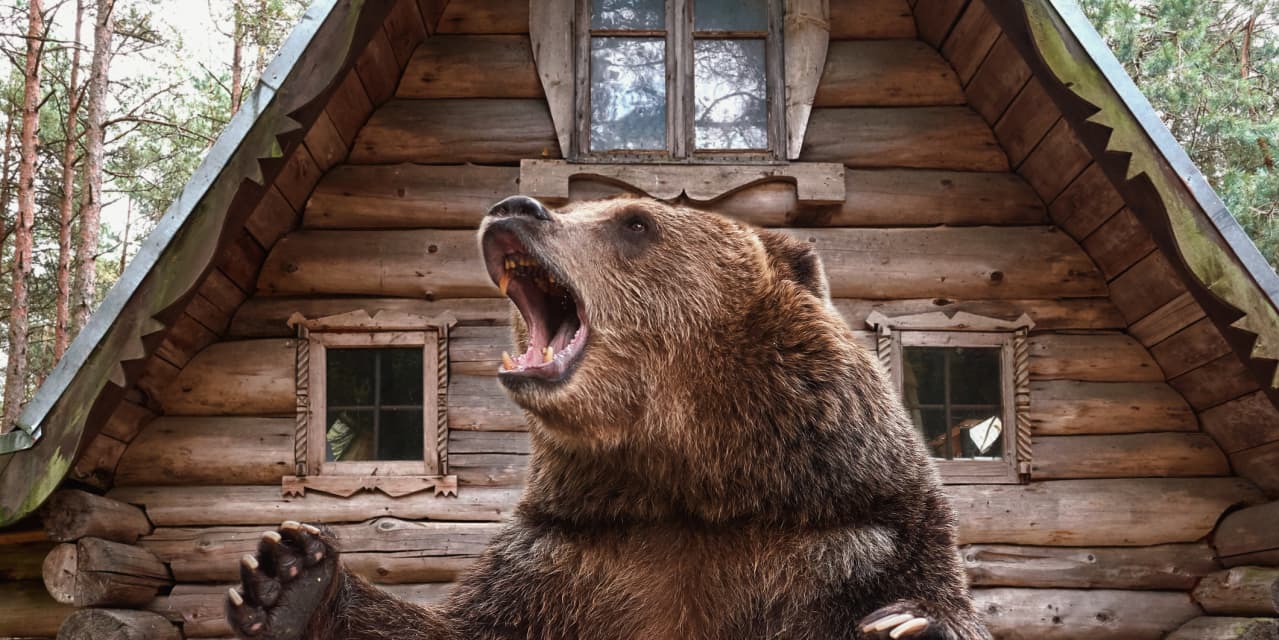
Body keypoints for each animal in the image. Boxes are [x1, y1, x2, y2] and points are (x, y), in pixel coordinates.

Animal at [226, 195, 991, 640]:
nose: (513, 206)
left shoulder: (857, 536)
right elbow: (456, 628)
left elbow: (923, 601)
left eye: (634, 221)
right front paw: (289, 578)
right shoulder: (569, 557)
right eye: (578, 203)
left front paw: (909, 628)